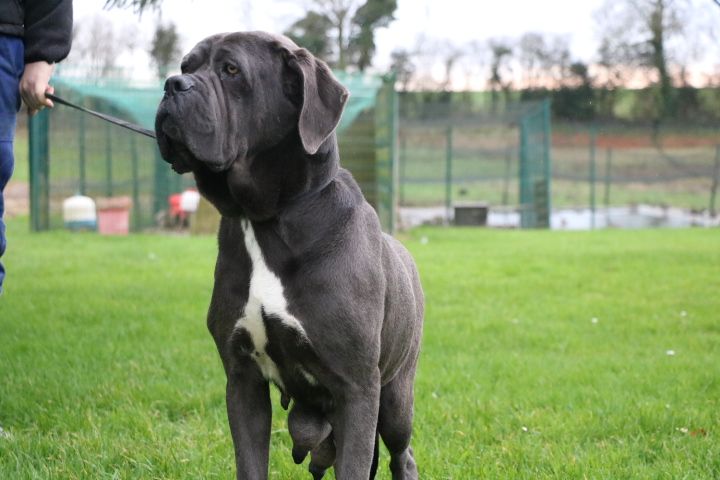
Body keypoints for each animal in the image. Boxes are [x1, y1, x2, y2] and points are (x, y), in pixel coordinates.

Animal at [153, 31, 422, 478]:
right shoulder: (242, 380)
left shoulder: (357, 388)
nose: (173, 84)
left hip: (396, 398)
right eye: (186, 66)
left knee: (403, 453)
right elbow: (250, 462)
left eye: (231, 69)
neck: (267, 220)